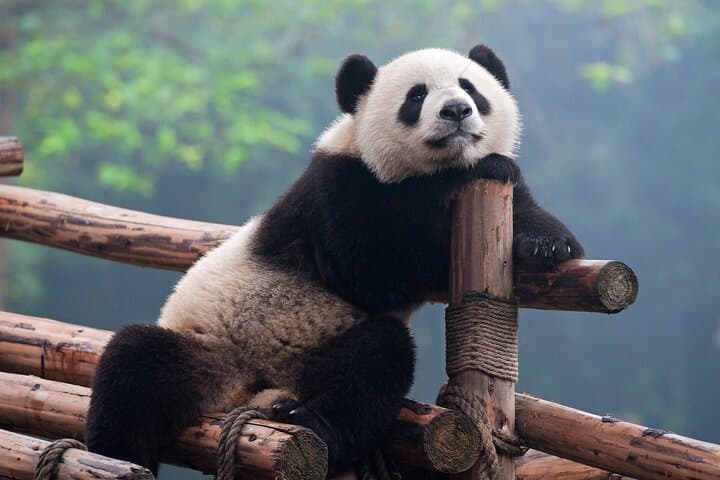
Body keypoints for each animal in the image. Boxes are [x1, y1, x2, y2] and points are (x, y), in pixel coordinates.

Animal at [86, 44, 584, 476]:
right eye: (417, 96)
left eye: (470, 87)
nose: (457, 111)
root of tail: (251, 391)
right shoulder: (340, 187)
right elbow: (374, 269)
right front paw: (471, 174)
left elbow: (525, 209)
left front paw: (546, 243)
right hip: (210, 348)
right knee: (133, 370)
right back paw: (119, 458)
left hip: (314, 357)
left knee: (370, 364)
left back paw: (310, 419)